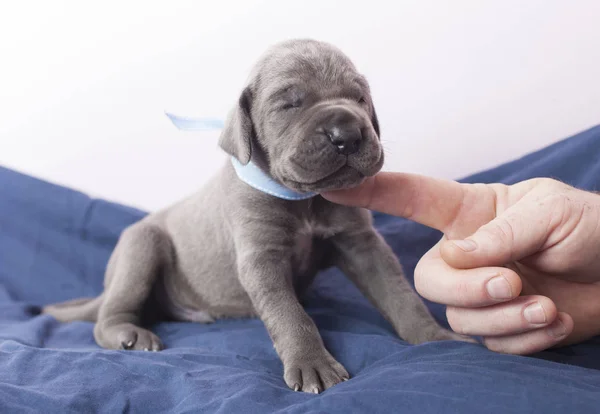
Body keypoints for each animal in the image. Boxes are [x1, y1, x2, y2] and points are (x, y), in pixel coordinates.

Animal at [44, 38, 472, 394]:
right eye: (289, 104)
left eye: (359, 97)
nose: (347, 132)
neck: (303, 199)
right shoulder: (261, 258)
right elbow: (290, 315)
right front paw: (312, 364)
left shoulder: (360, 244)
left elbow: (398, 293)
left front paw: (434, 336)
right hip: (141, 246)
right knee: (108, 315)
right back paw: (128, 334)